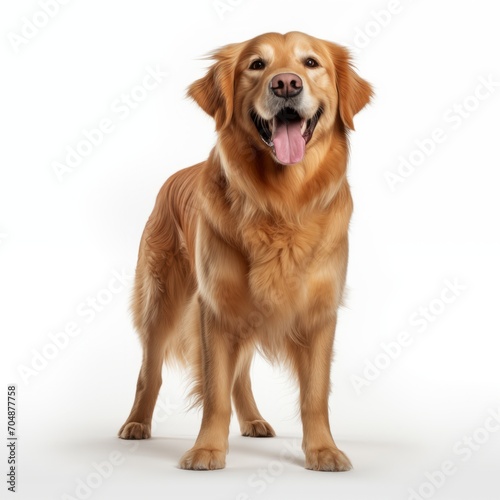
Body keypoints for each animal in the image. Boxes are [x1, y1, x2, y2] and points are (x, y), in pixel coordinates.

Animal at [119, 29, 374, 470]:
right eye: (257, 65)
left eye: (311, 62)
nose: (286, 83)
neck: (280, 202)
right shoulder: (216, 309)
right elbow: (215, 391)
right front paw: (207, 449)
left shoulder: (319, 314)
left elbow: (314, 395)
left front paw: (323, 450)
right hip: (159, 300)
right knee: (149, 372)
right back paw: (136, 424)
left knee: (241, 375)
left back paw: (254, 420)